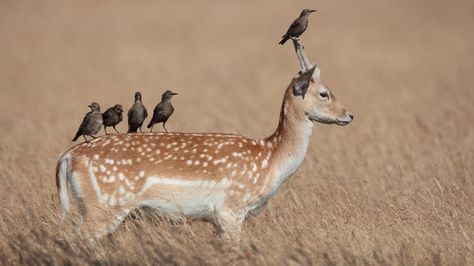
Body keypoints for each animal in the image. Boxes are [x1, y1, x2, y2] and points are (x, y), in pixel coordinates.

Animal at [55, 39, 352, 241]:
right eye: (324, 93)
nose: (349, 114)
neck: (269, 158)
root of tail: (67, 158)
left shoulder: (218, 219)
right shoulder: (230, 209)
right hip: (103, 206)